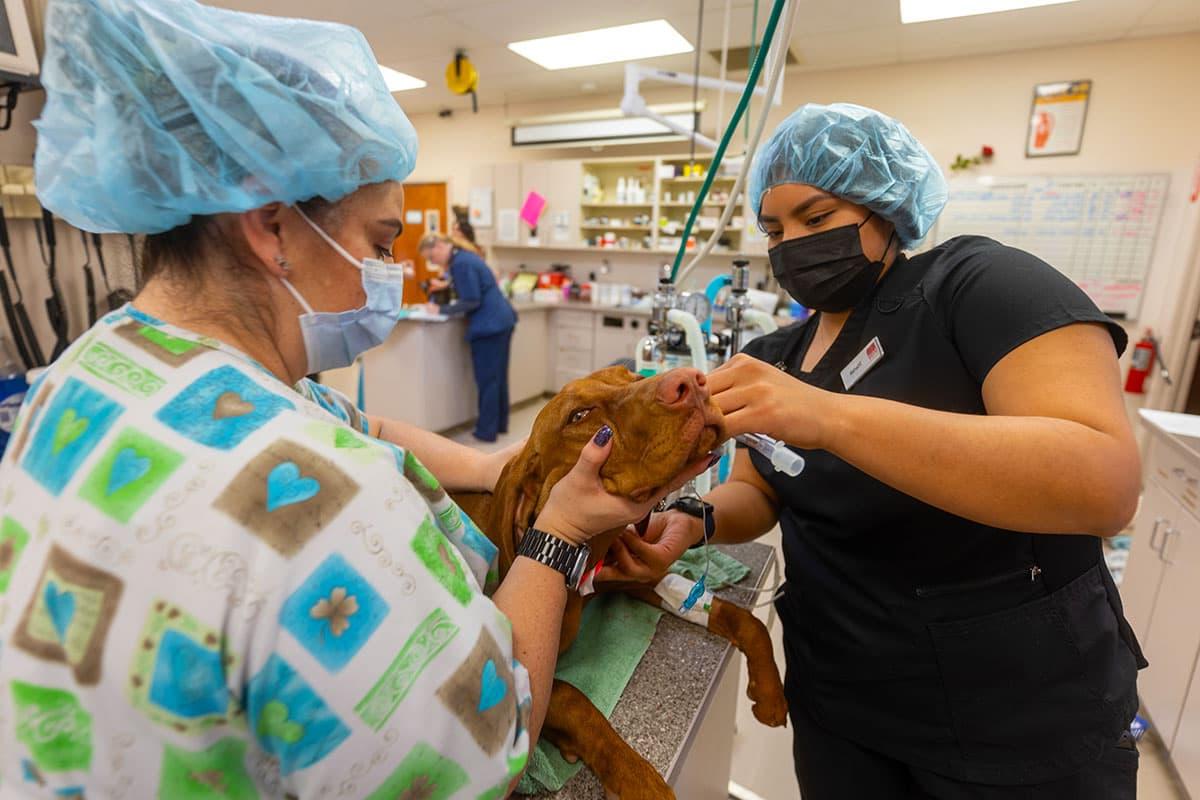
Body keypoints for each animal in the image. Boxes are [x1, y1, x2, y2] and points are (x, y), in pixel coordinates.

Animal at [451, 367, 787, 800]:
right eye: (578, 416)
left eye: (630, 375)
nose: (692, 382)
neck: (575, 551)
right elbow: (573, 698)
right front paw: (640, 780)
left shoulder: (625, 572)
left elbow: (739, 616)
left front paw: (769, 688)